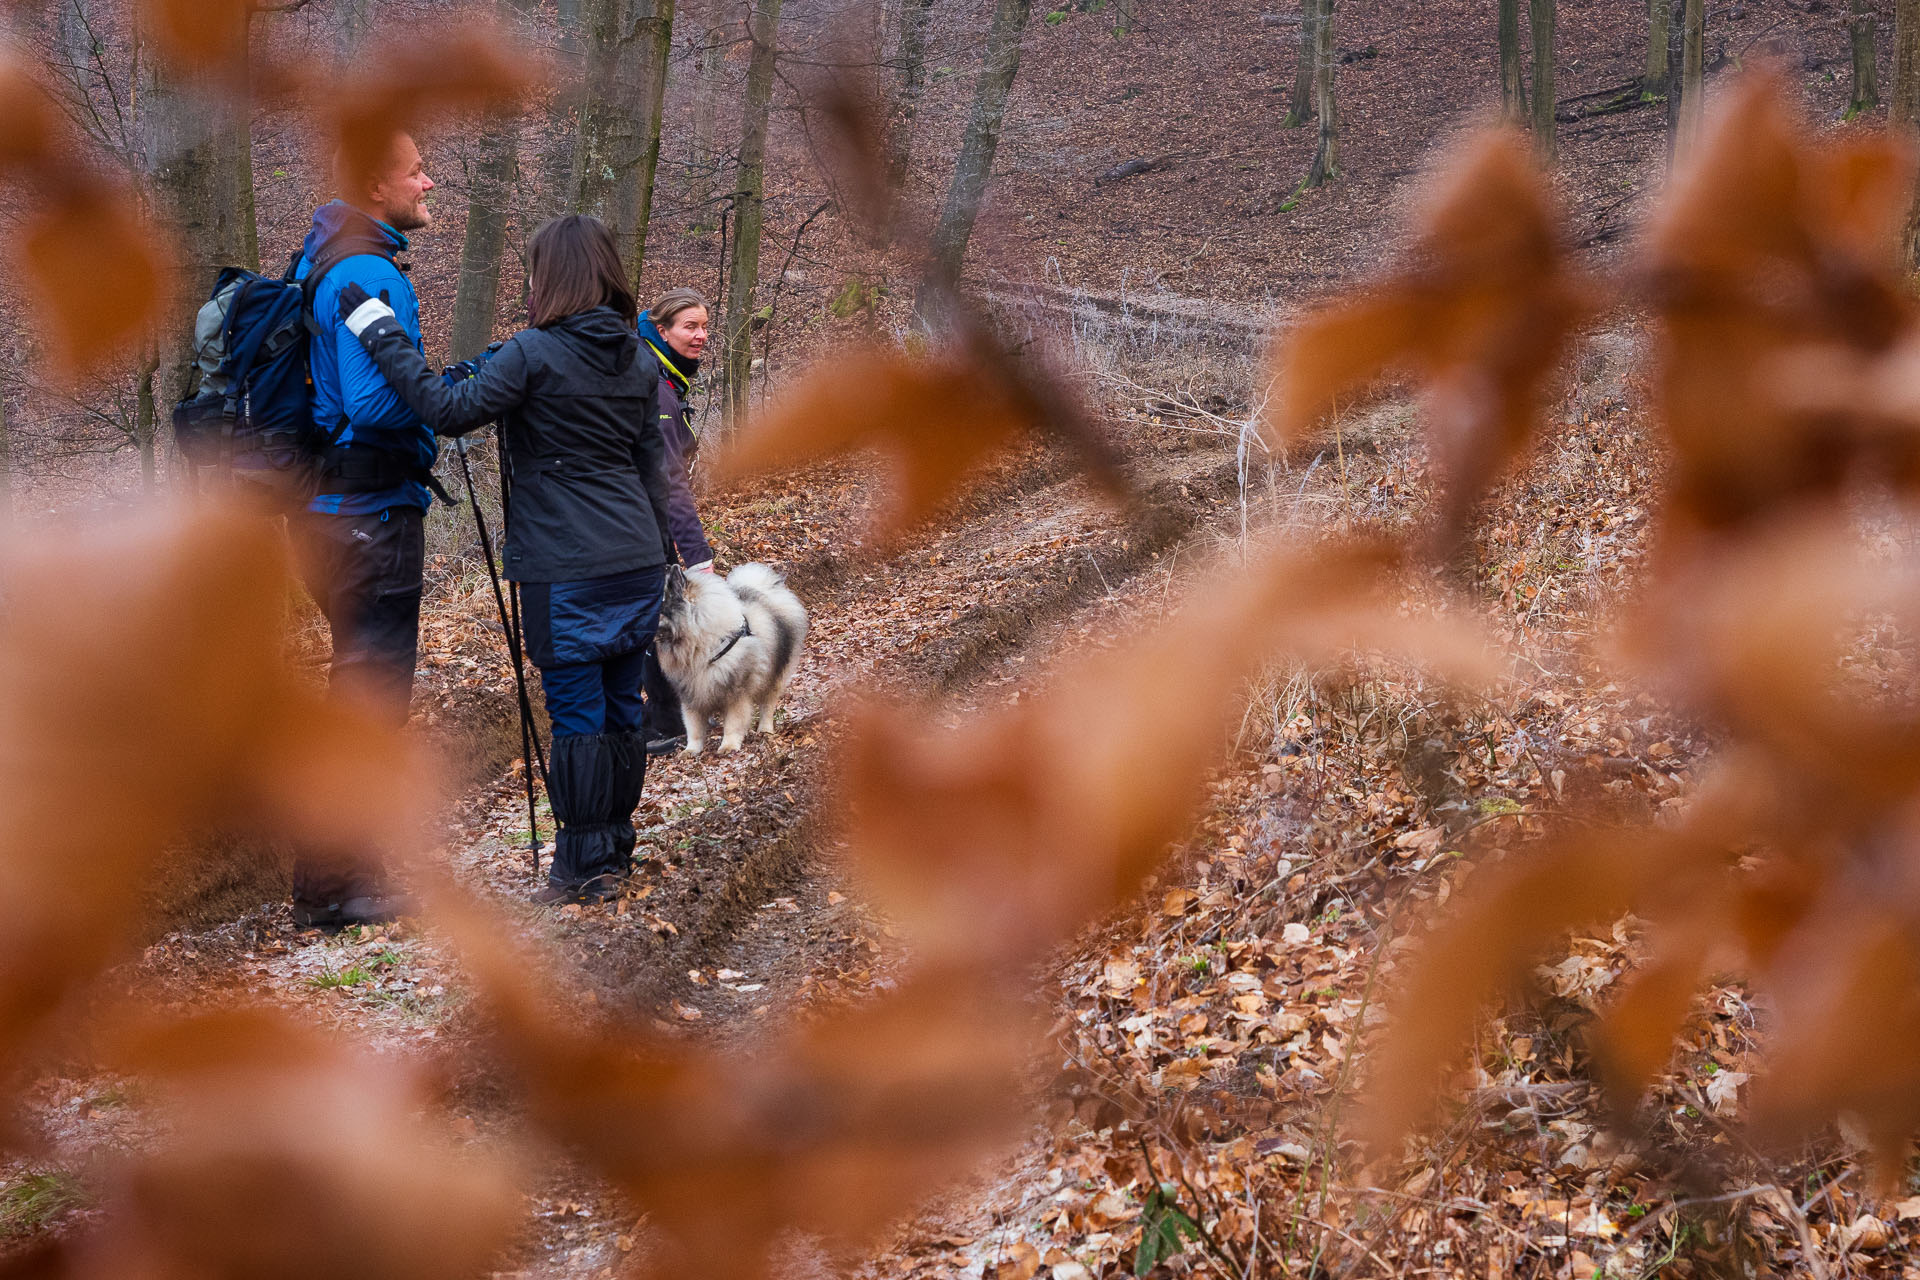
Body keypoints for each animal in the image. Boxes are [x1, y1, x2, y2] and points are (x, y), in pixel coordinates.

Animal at [656, 564, 806, 752]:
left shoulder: (737, 693)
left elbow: (733, 723)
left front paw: (728, 746)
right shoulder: (691, 695)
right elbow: (693, 727)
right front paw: (691, 750)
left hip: (774, 676)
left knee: (767, 705)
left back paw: (765, 729)